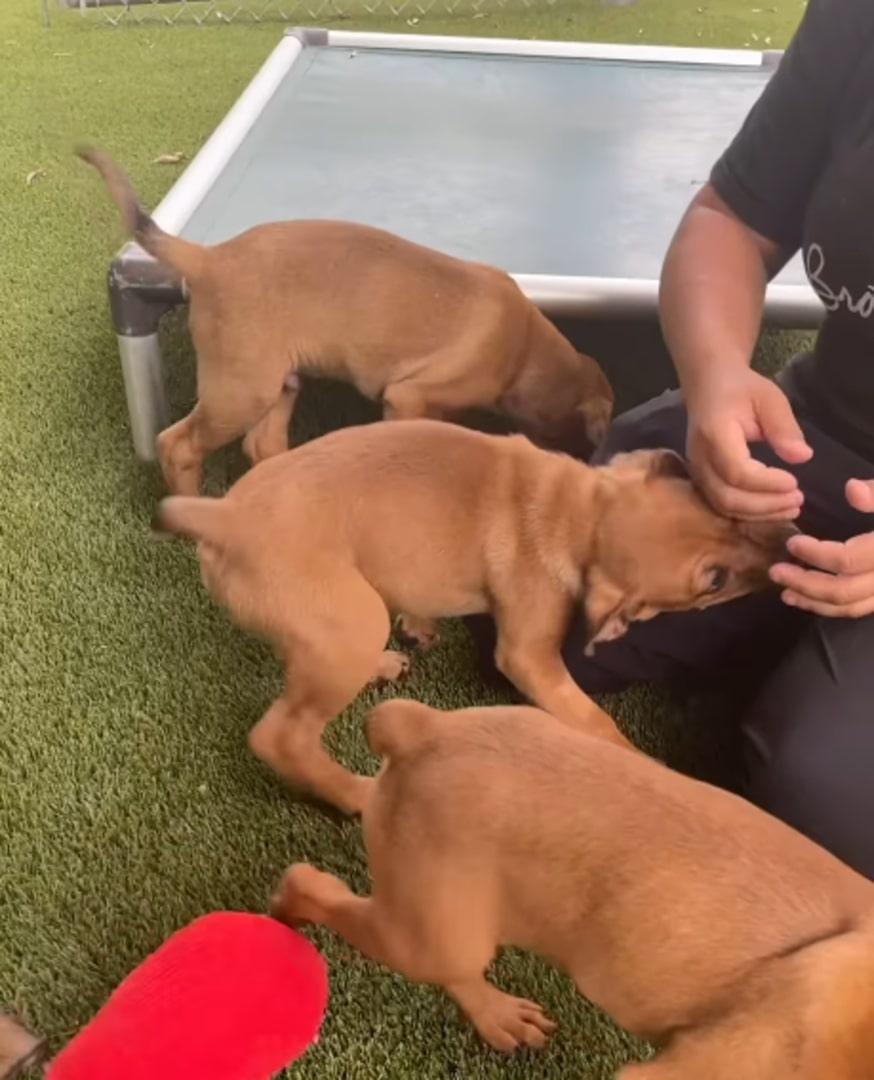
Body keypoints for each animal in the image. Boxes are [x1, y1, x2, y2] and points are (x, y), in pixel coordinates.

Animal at [79, 145, 613, 494]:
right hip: (240, 390)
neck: (524, 348)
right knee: (177, 444)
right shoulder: (407, 397)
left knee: (263, 446)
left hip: (278, 384)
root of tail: (210, 258)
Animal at [153, 416, 795, 812]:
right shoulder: (530, 658)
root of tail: (223, 517)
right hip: (346, 625)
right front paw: (645, 769)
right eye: (714, 581)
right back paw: (354, 795)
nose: (790, 543)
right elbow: (594, 722)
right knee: (281, 735)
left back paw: (381, 666)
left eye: (726, 512)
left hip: (336, 624)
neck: (578, 511)